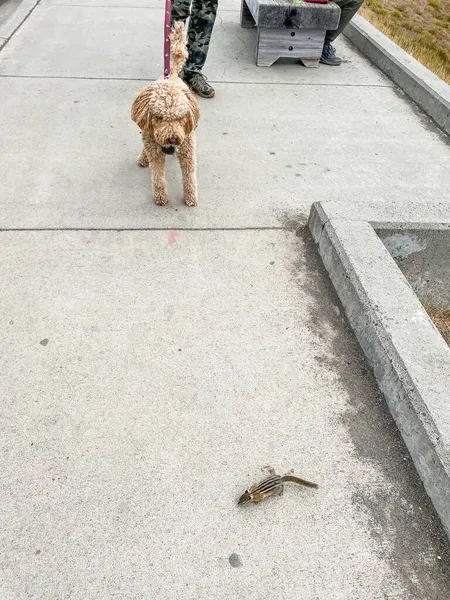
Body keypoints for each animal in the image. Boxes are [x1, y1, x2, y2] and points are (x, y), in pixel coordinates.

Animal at [130, 22, 200, 206]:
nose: (172, 139)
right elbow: (158, 177)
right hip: (147, 134)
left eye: (181, 117)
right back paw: (143, 158)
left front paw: (191, 197)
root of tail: (171, 74)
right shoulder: (155, 152)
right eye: (159, 117)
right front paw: (161, 197)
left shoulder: (188, 151)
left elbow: (190, 176)